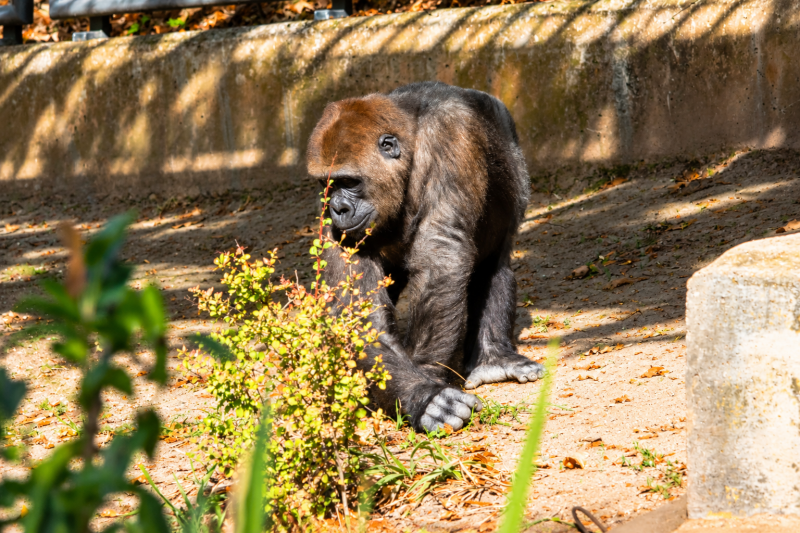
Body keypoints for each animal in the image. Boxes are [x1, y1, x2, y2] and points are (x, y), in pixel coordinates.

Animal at [306, 81, 544, 433]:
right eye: (328, 184)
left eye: (349, 182)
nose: (337, 208)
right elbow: (360, 311)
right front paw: (423, 394)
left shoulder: (449, 137)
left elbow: (442, 256)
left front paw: (426, 380)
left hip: (508, 138)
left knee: (493, 264)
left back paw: (493, 358)